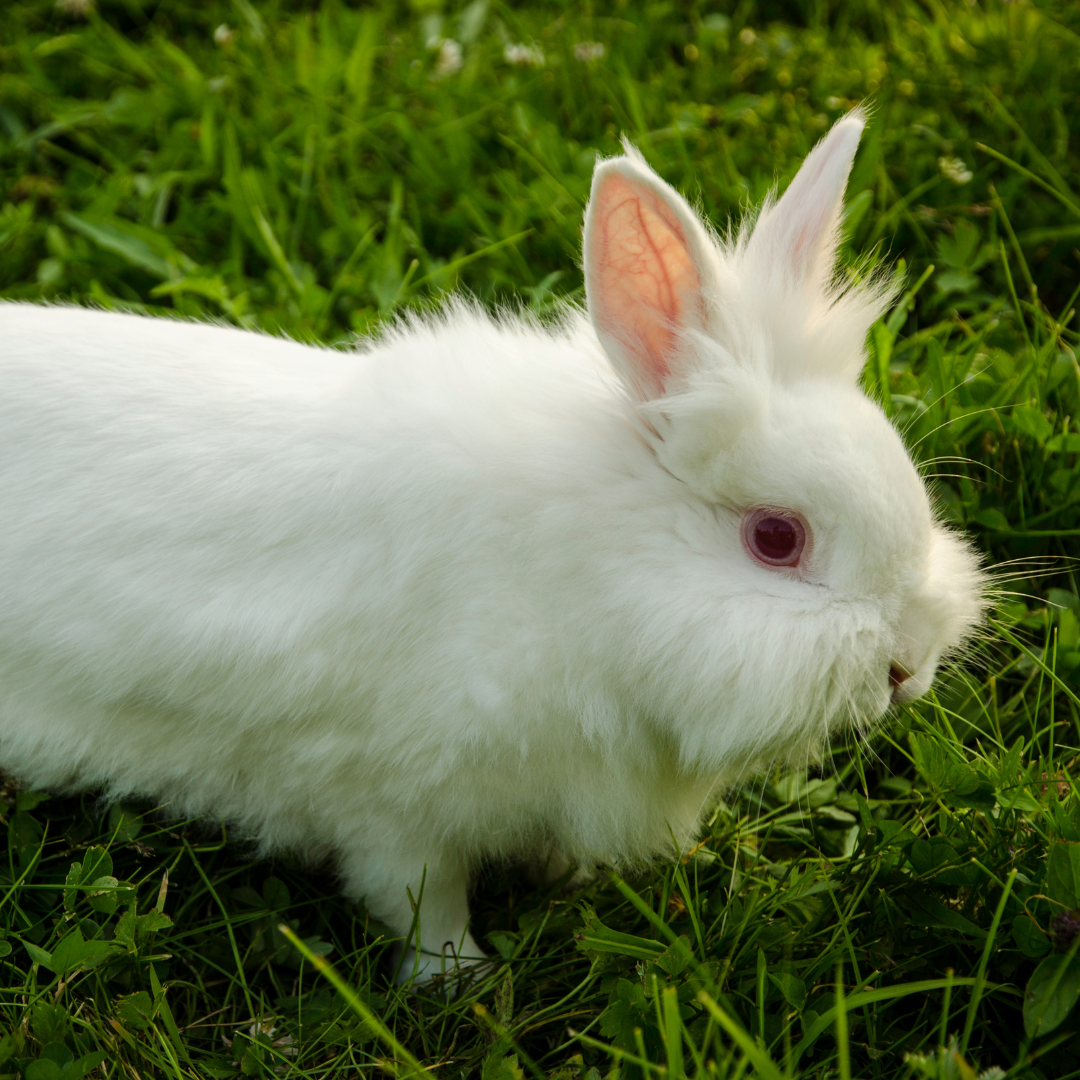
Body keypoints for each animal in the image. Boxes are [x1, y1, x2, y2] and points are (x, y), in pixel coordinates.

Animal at [0, 111, 984, 989]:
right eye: (776, 539)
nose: (908, 670)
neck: (581, 573)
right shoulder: (391, 799)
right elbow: (419, 896)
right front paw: (459, 978)